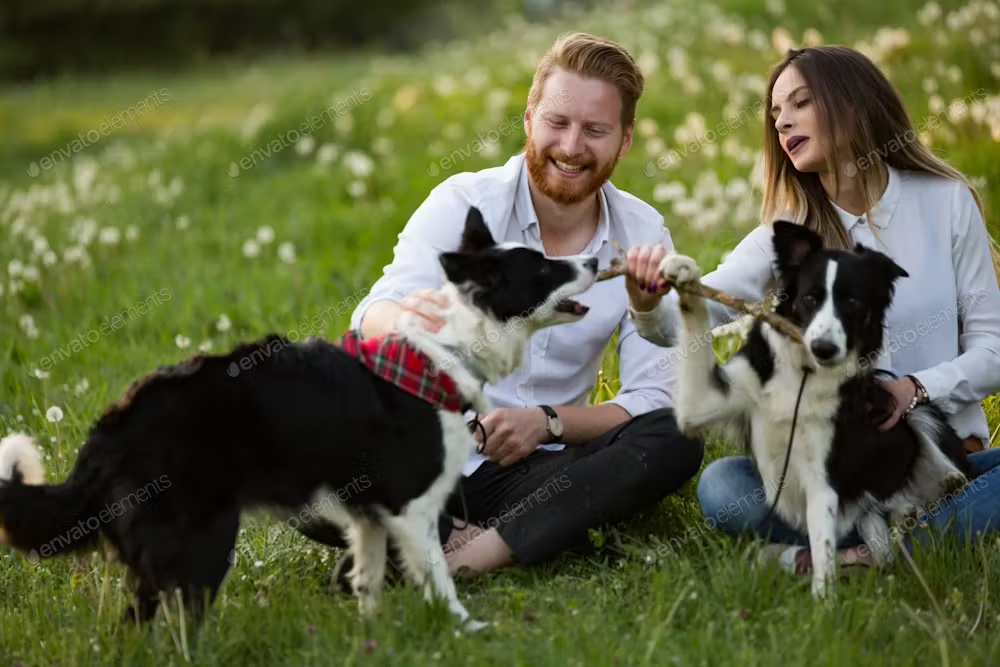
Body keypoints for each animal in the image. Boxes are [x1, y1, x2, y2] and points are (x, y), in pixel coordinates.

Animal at [660, 222, 972, 596]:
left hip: (909, 410)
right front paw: (683, 273)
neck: (805, 374)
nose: (824, 348)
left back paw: (937, 489)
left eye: (852, 302)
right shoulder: (705, 402)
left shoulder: (823, 476)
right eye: (810, 297)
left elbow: (822, 543)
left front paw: (824, 602)